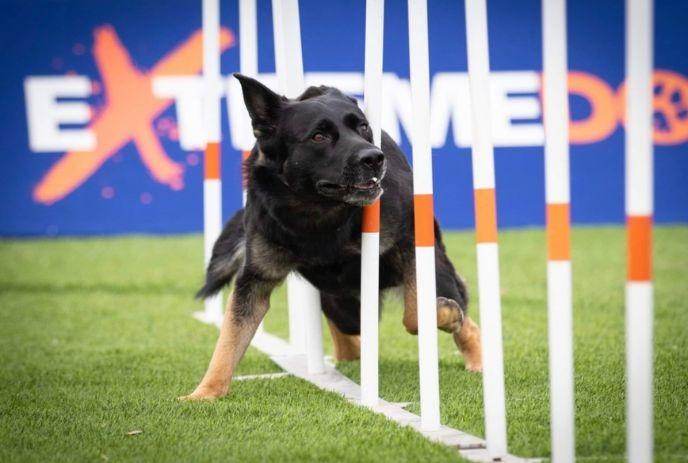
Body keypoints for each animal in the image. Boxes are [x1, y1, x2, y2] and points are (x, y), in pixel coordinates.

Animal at [180, 74, 482, 400]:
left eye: (362, 127)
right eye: (318, 137)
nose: (375, 158)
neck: (316, 212)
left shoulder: (410, 243)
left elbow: (415, 314)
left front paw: (447, 314)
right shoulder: (255, 282)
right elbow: (229, 339)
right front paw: (205, 393)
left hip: (429, 270)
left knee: (460, 307)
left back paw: (474, 354)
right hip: (342, 304)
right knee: (348, 334)